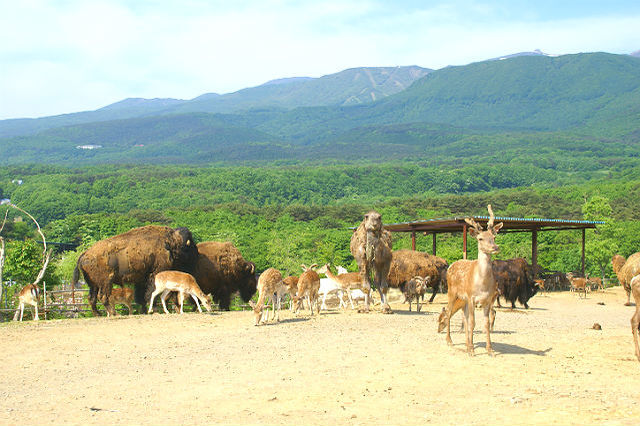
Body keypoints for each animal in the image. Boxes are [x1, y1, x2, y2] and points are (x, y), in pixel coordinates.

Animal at [438, 205, 502, 354]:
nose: (495, 247)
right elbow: (473, 322)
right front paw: (472, 350)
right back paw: (450, 341)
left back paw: (467, 344)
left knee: (465, 318)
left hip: (464, 300)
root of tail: (451, 265)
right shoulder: (471, 297)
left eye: (494, 236)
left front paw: (489, 350)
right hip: (452, 292)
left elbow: (485, 324)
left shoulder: (487, 300)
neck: (483, 285)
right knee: (449, 312)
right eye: (480, 238)